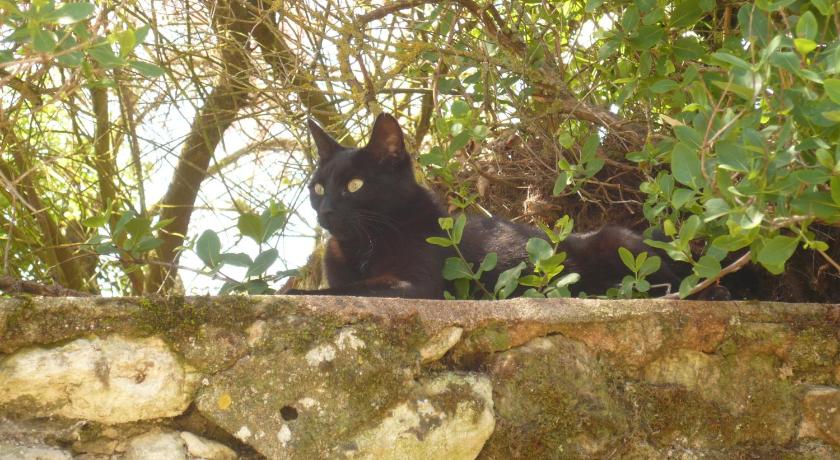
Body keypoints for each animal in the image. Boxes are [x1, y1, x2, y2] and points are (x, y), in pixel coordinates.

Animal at [286, 112, 692, 298]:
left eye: (354, 185)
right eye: (318, 188)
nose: (325, 210)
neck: (362, 246)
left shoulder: (417, 283)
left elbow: (351, 288)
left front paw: (293, 292)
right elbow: (346, 285)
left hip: (620, 244)